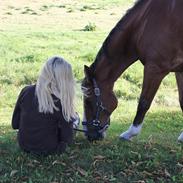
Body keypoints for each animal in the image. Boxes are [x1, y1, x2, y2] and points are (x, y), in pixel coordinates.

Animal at [81, 0, 183, 142]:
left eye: (88, 101)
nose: (88, 135)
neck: (144, 22)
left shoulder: (155, 69)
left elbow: (143, 103)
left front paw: (130, 133)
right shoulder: (179, 70)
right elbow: (182, 101)